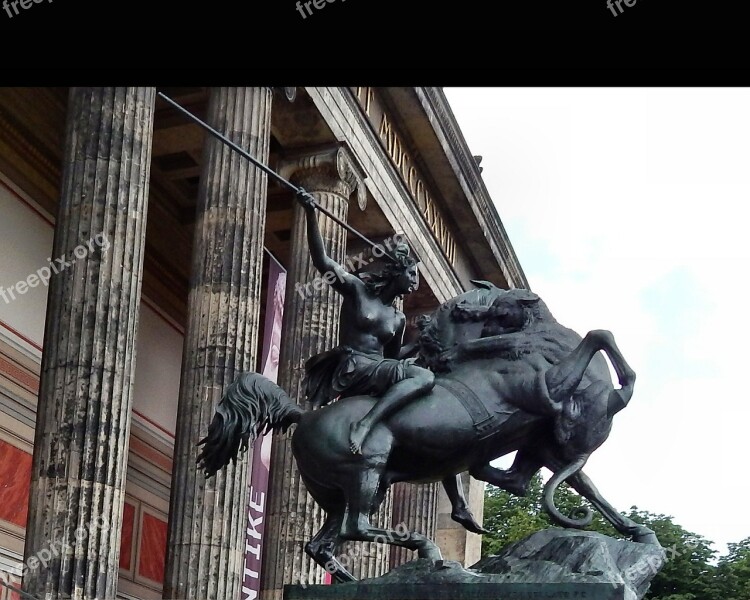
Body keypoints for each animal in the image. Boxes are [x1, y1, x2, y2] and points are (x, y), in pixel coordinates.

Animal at [198, 282, 656, 580]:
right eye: (493, 302)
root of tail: (301, 416)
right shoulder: (543, 394)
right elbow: (595, 338)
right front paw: (618, 387)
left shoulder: (543, 447)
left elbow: (587, 487)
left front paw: (637, 531)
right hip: (365, 474)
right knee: (355, 529)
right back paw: (429, 549)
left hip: (340, 493)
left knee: (322, 543)